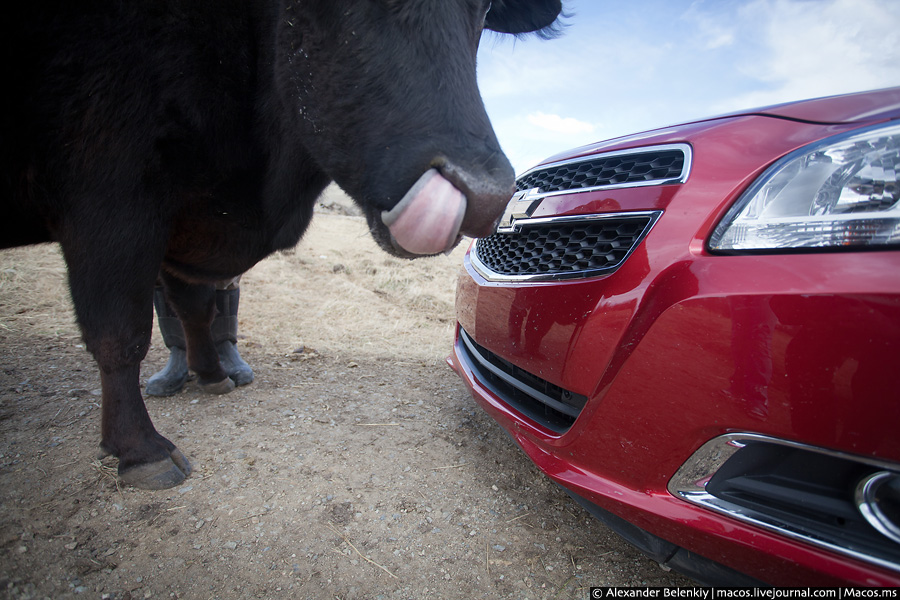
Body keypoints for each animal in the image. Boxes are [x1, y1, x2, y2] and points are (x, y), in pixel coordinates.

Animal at [0, 0, 564, 488]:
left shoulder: (181, 232)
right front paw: (140, 448)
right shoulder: (110, 200)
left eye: (485, 8)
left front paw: (211, 374)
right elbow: (121, 332)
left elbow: (197, 308)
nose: (487, 192)